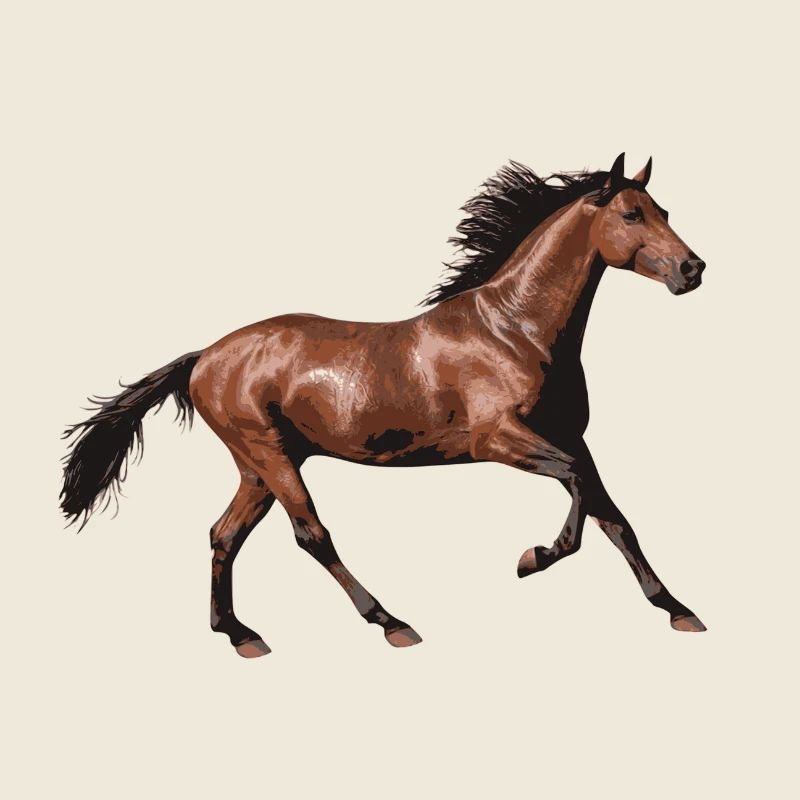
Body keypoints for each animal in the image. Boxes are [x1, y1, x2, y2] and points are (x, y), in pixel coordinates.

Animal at [60, 152, 708, 658]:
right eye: (631, 214)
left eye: (665, 212)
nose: (693, 268)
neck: (514, 331)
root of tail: (203, 357)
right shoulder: (499, 439)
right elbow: (576, 494)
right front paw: (532, 557)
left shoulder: (572, 436)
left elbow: (612, 515)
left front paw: (678, 609)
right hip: (269, 454)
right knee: (310, 533)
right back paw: (391, 622)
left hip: (258, 464)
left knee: (224, 534)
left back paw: (240, 634)